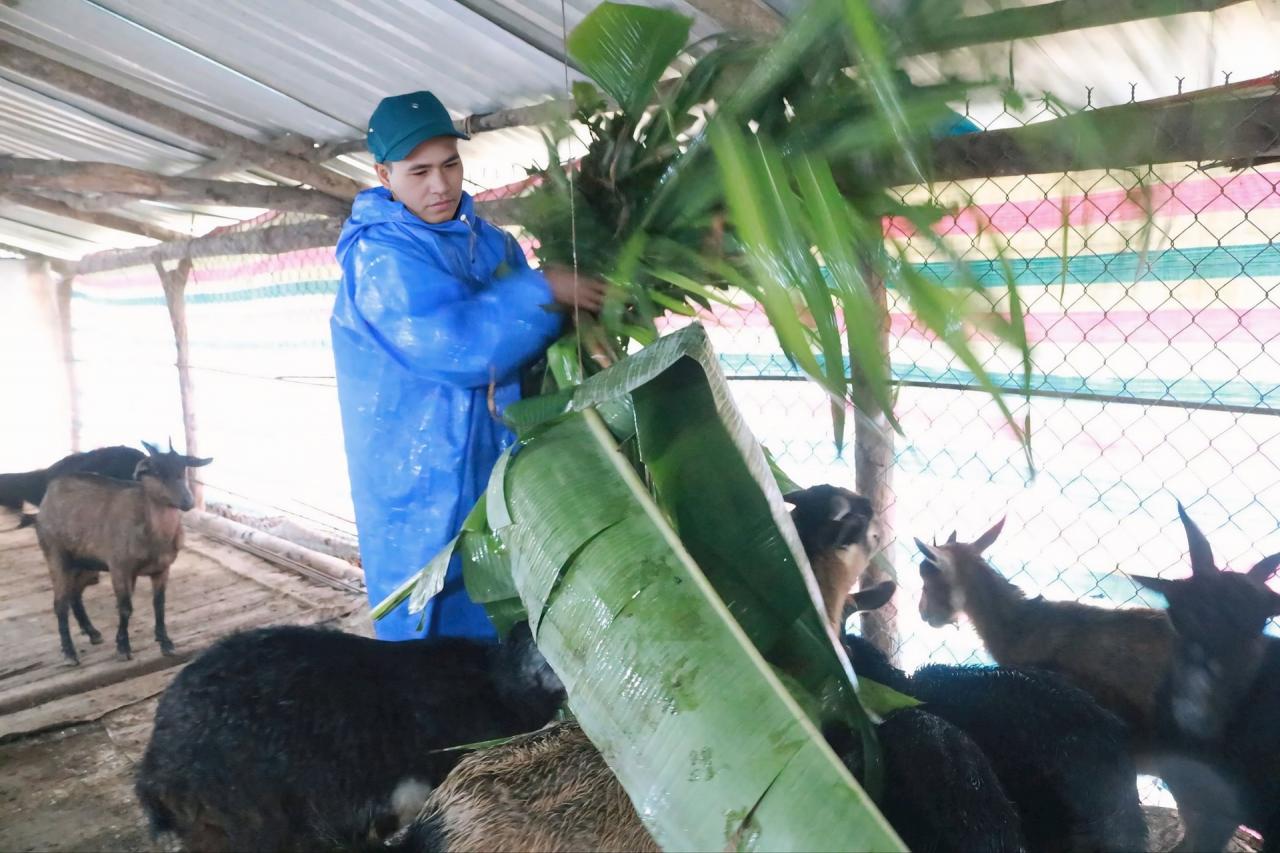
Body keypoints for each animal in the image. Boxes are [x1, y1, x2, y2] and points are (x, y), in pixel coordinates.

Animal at [34, 438, 209, 666]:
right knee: (60, 603)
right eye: (155, 471)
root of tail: (50, 490)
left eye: (183, 469)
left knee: (74, 593)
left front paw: (166, 643)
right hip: (55, 552)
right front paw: (123, 647)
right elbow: (125, 607)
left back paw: (92, 632)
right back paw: (70, 652)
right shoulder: (120, 566)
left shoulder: (162, 569)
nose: (187, 501)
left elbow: (159, 604)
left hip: (85, 562)